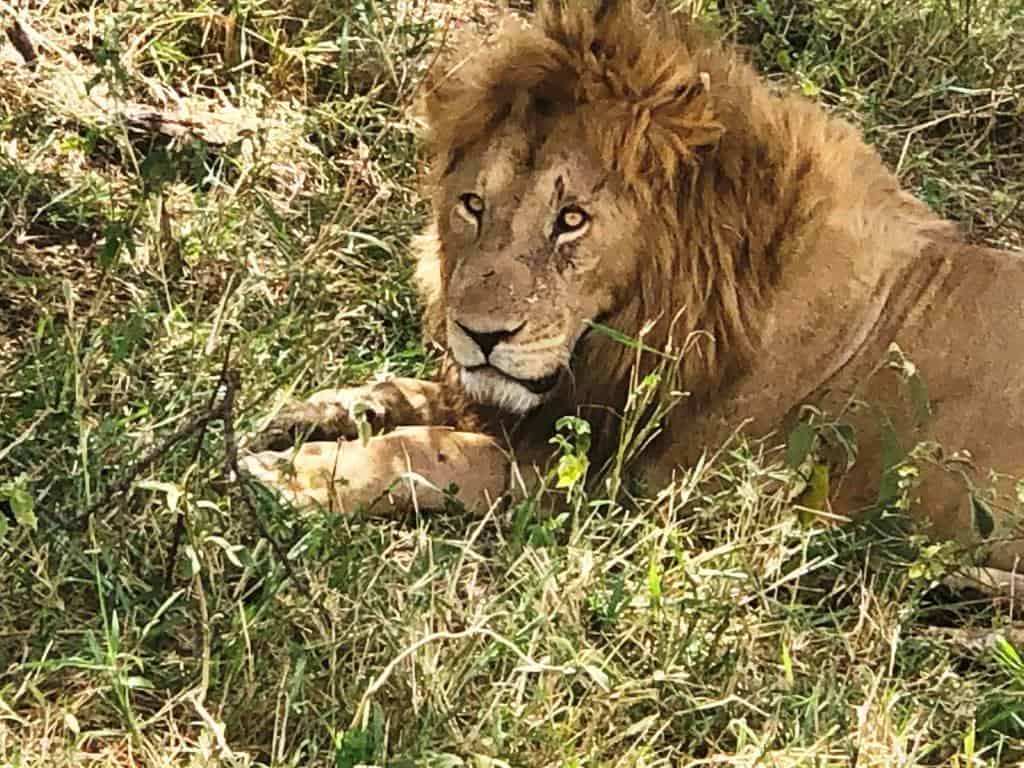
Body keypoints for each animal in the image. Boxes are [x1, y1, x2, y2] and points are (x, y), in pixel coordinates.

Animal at [241, 0, 1024, 576]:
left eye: (571, 220)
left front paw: (301, 475)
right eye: (473, 205)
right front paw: (313, 413)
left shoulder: (655, 494)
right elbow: (421, 395)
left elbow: (446, 452)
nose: (479, 334)